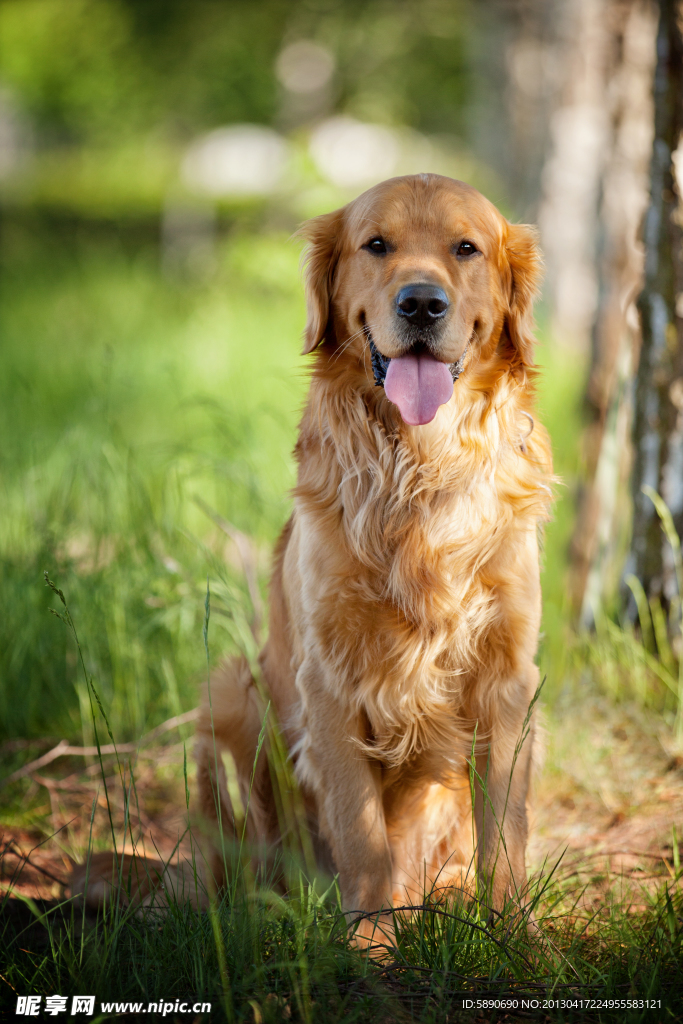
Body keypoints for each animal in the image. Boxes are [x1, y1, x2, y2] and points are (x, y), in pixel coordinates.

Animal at [189, 174, 552, 937]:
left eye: (465, 248)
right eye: (376, 244)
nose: (421, 302)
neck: (420, 466)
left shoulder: (507, 679)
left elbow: (506, 831)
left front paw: (514, 941)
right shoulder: (329, 677)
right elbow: (361, 835)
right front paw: (372, 942)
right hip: (229, 693)